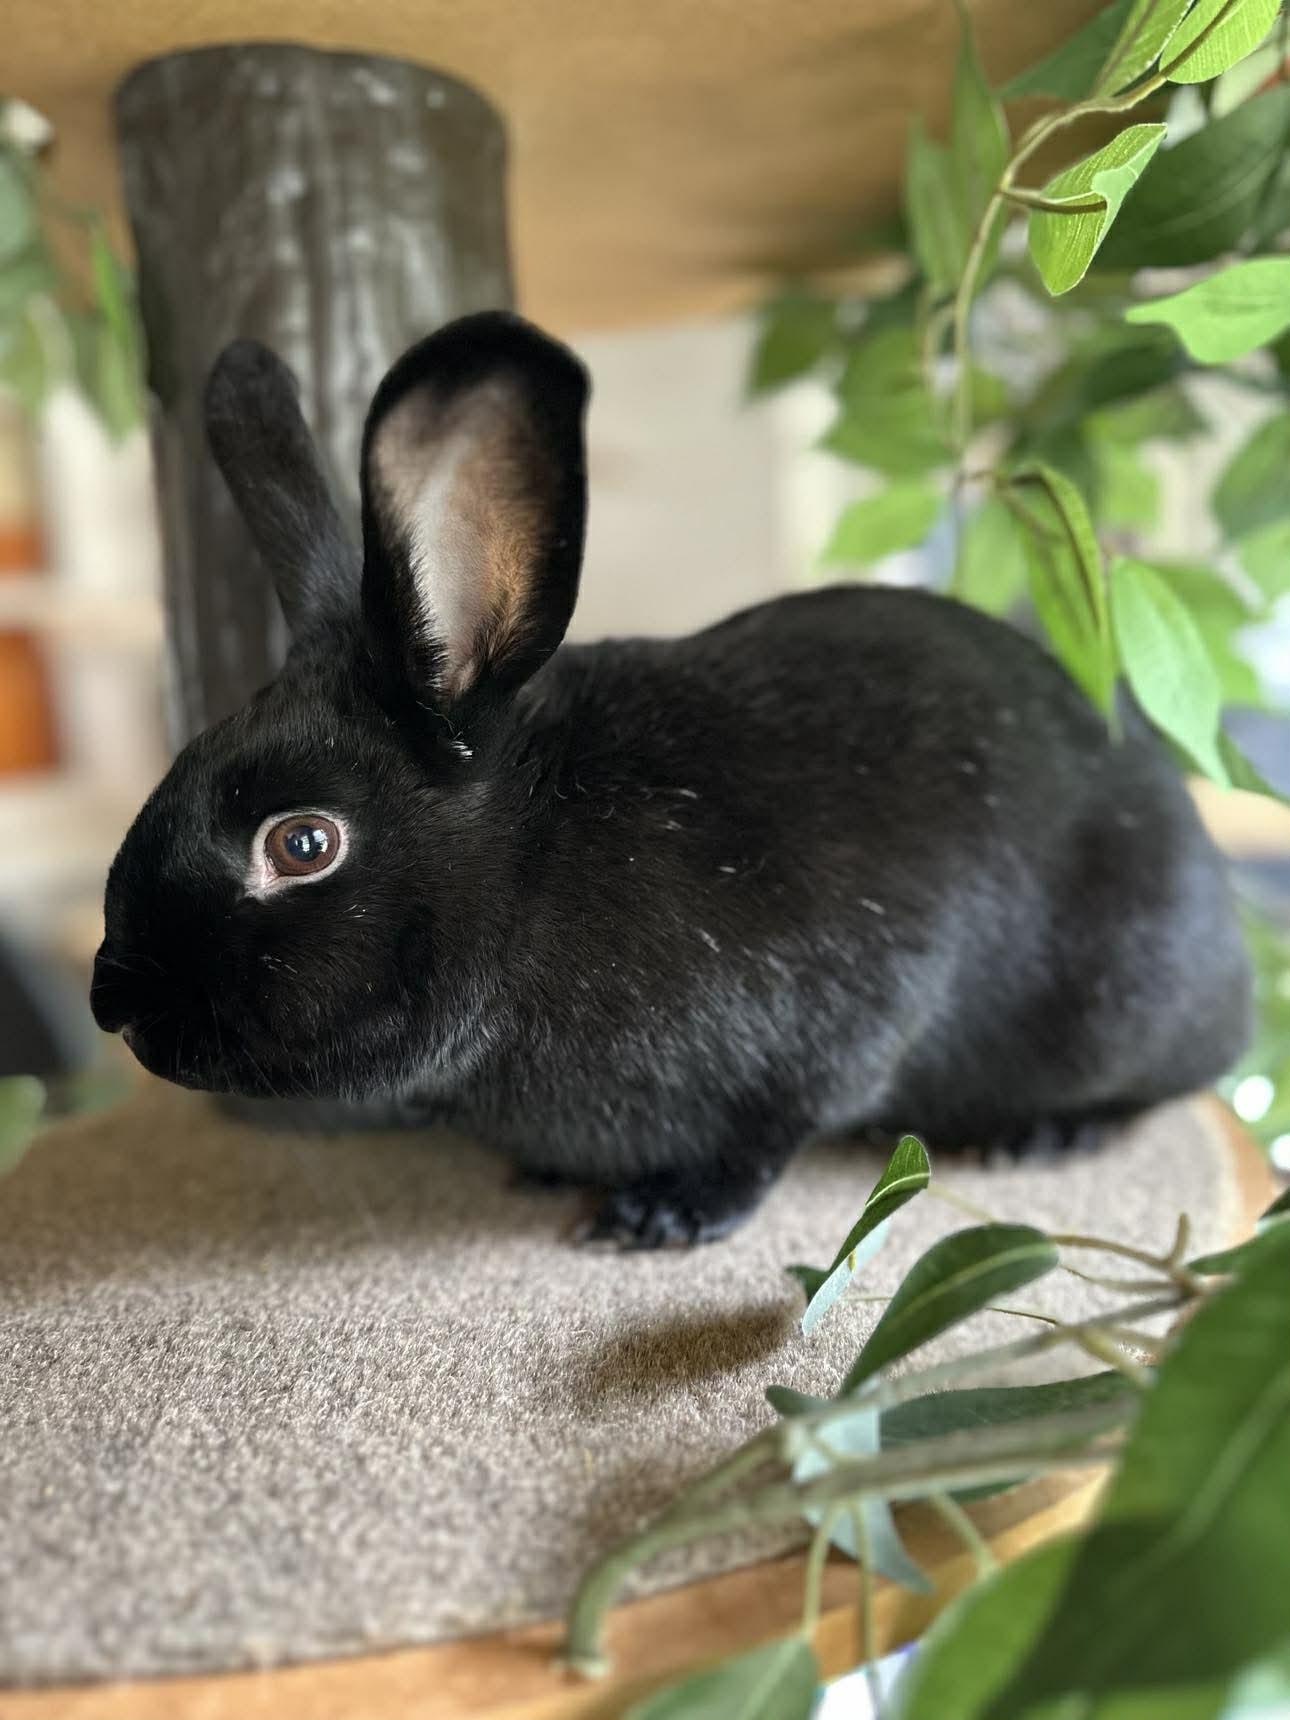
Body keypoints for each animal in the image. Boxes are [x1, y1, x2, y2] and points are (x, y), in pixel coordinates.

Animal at [91, 310, 1252, 1248]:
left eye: (302, 844)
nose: (112, 1000)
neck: (532, 875)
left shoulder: (836, 1017)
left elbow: (767, 1136)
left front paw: (660, 1218)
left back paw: (1044, 1135)